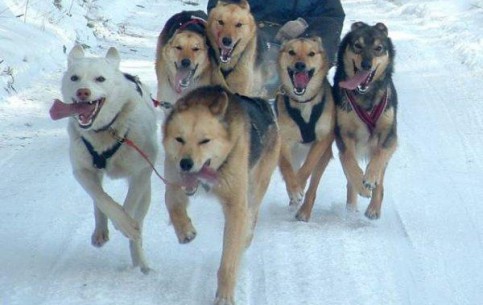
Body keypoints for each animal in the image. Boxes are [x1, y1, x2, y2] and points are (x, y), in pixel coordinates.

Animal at [52, 44, 160, 270]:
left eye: (100, 79)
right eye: (74, 78)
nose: (83, 92)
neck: (106, 130)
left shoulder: (141, 171)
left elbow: (129, 205)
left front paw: (126, 224)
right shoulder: (82, 171)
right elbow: (102, 199)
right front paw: (119, 221)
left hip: (146, 192)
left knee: (139, 222)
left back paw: (140, 260)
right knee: (99, 199)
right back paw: (101, 230)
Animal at [164, 85, 282, 304]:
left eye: (204, 141)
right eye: (179, 139)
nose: (186, 163)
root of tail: (264, 103)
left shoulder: (236, 206)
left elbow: (228, 261)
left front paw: (225, 295)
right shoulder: (174, 182)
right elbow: (172, 203)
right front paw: (184, 230)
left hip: (255, 186)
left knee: (251, 216)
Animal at [274, 37, 334, 221]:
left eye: (311, 53)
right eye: (291, 52)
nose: (300, 65)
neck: (304, 103)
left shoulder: (322, 139)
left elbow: (308, 166)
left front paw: (298, 186)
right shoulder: (284, 140)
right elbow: (286, 168)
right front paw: (293, 190)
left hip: (324, 157)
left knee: (313, 186)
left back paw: (304, 211)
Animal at [334, 21, 398, 218]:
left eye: (378, 48)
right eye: (357, 45)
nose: (366, 64)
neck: (366, 96)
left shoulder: (389, 135)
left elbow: (379, 156)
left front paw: (369, 179)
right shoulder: (343, 133)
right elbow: (349, 161)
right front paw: (361, 186)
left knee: (381, 182)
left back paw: (373, 208)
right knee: (349, 180)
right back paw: (351, 208)